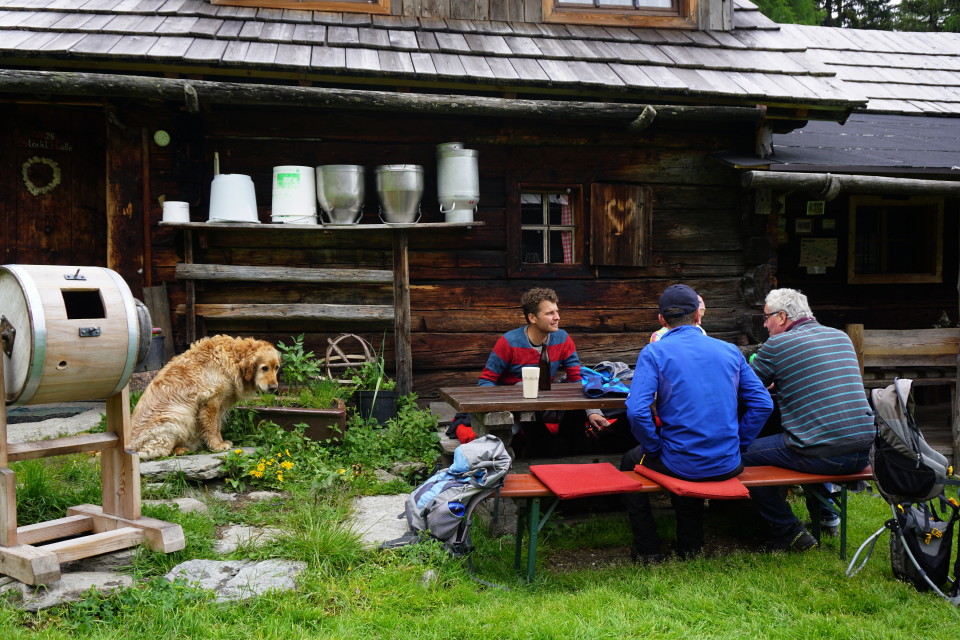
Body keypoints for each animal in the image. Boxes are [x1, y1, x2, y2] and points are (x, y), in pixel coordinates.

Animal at [129, 336, 278, 460]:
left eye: (276, 368)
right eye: (264, 368)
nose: (274, 388)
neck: (233, 357)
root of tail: (132, 447)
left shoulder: (220, 403)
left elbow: (217, 426)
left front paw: (220, 442)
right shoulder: (211, 400)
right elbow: (211, 427)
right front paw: (216, 446)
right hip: (177, 416)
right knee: (162, 452)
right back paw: (182, 450)